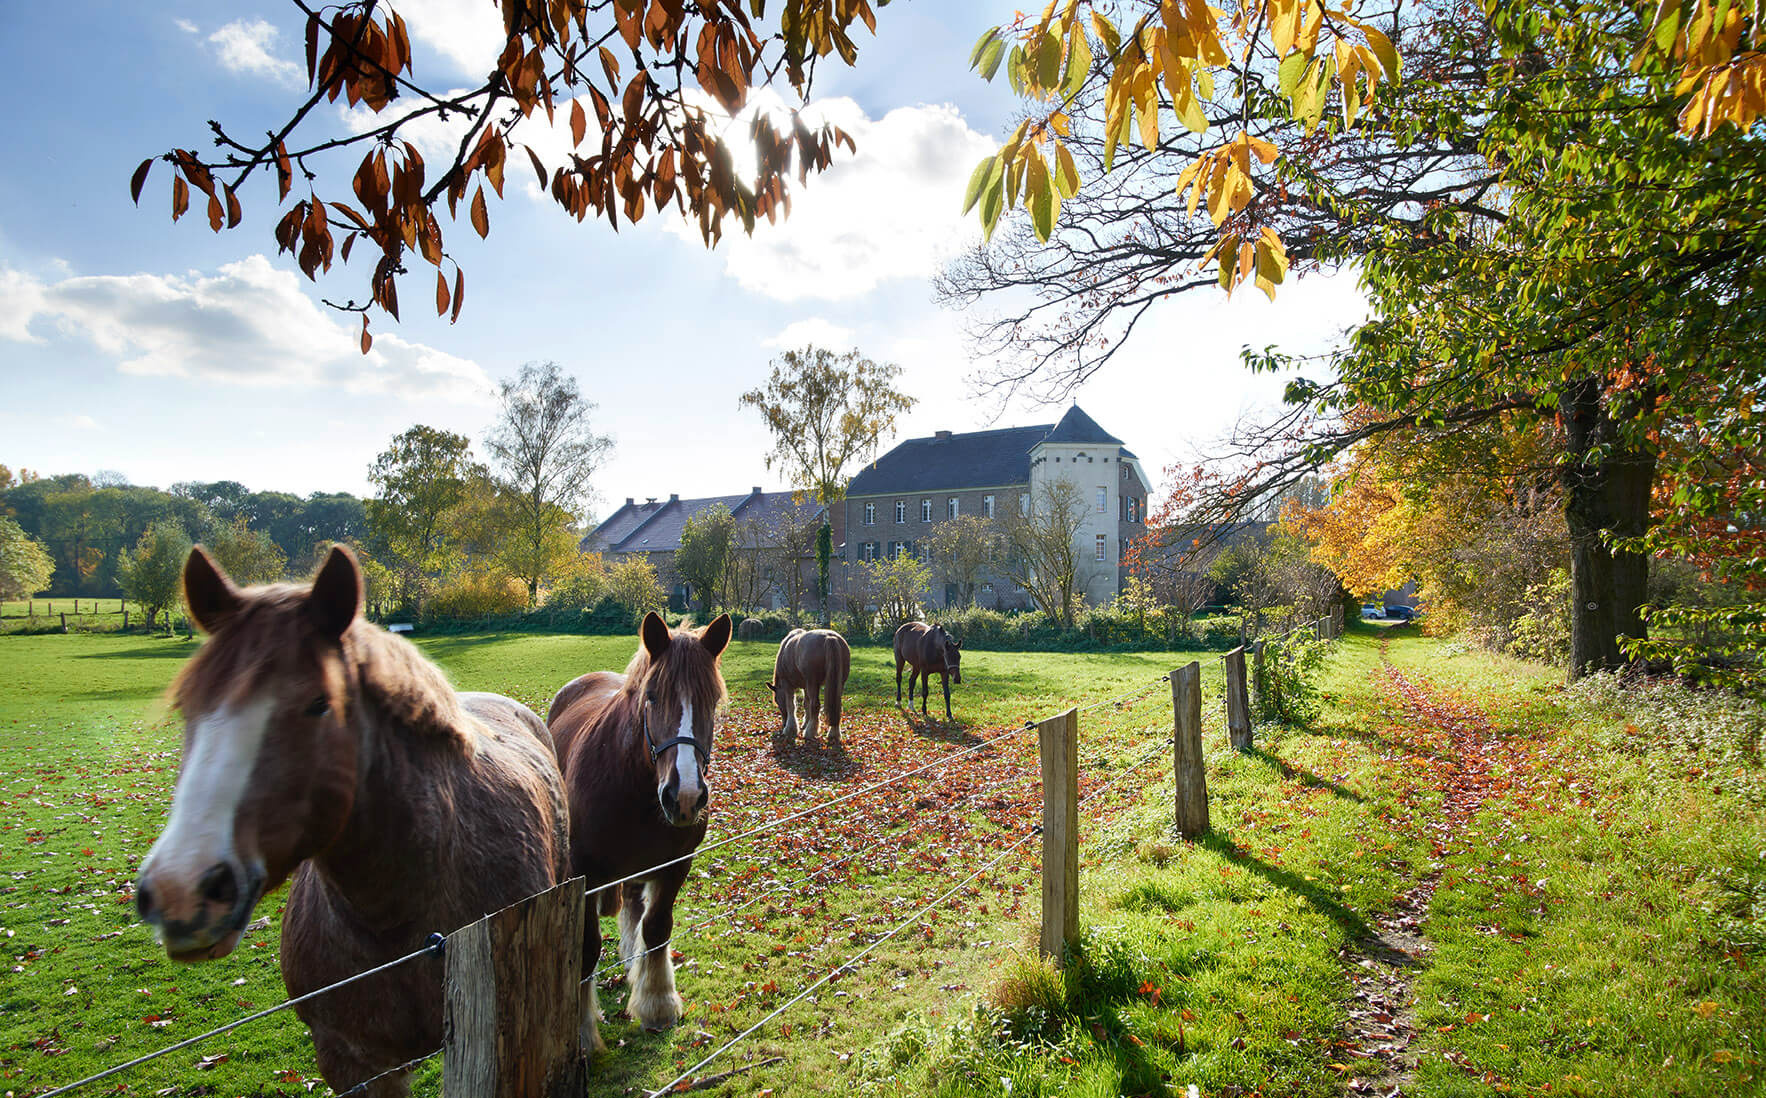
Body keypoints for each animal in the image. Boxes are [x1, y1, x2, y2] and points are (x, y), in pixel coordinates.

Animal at [540, 614, 727, 1052]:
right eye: (653, 697)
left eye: (712, 700)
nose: (685, 796)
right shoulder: (584, 874)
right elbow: (586, 949)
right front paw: (581, 1032)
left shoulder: (675, 865)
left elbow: (656, 928)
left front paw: (656, 1003)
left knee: (632, 904)